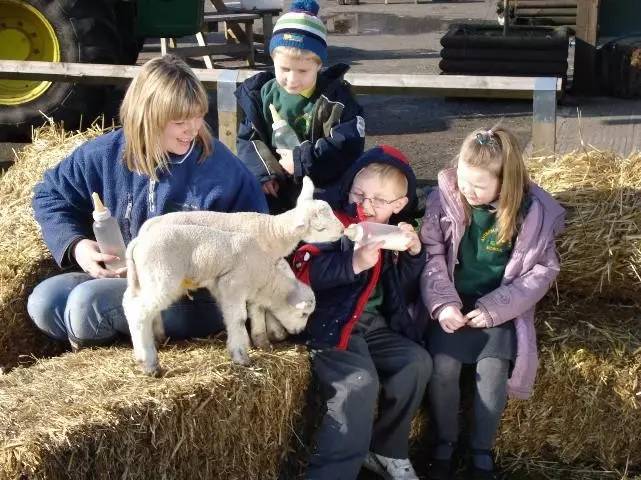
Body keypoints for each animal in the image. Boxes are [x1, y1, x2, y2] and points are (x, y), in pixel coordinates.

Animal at [122, 227, 316, 376]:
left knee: (130, 304)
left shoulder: (224, 288)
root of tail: (137, 242)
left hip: (142, 280)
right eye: (303, 313)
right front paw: (241, 356)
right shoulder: (233, 283)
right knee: (139, 312)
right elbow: (239, 319)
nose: (300, 331)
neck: (265, 278)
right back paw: (149, 363)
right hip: (161, 275)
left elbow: (239, 315)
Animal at [136, 176, 344, 348]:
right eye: (321, 228)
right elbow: (258, 307)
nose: (343, 230)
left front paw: (274, 331)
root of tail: (146, 228)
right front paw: (263, 339)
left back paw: (158, 338)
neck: (273, 232)